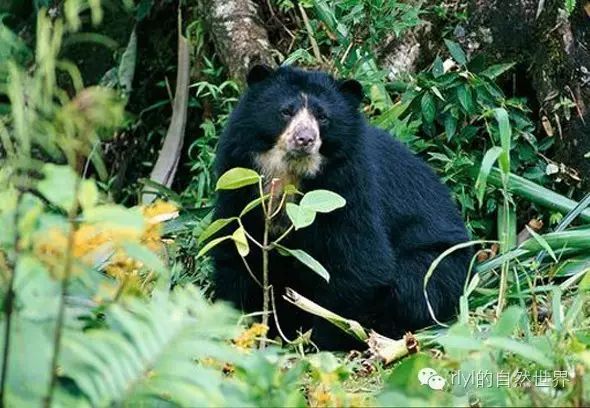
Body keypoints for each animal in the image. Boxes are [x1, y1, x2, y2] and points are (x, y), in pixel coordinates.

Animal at [210, 64, 474, 350]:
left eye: (323, 117)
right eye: (286, 111)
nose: (304, 139)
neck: (291, 172)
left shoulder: (348, 187)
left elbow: (360, 262)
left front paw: (322, 341)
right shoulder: (239, 180)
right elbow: (235, 250)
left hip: (440, 264)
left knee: (413, 290)